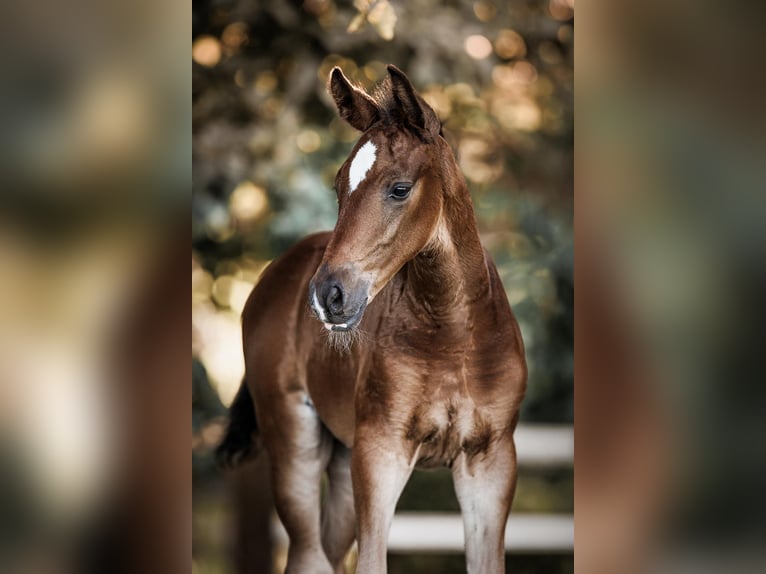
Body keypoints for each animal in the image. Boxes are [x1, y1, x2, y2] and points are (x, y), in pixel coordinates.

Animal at [217, 65, 527, 574]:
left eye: (400, 188)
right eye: (338, 185)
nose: (327, 296)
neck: (453, 335)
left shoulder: (491, 461)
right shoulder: (381, 453)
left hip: (344, 463)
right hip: (296, 446)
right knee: (308, 555)